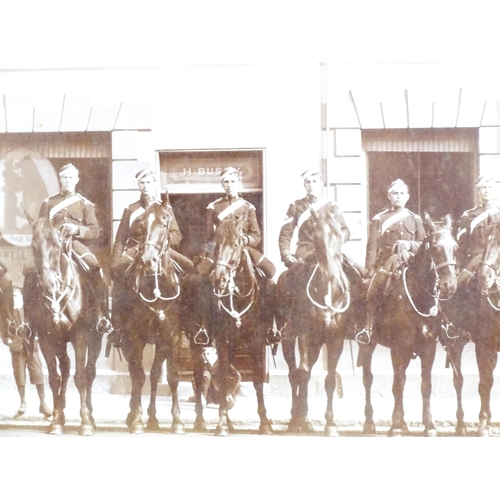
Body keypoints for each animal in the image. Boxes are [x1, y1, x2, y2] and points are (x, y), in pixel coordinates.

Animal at [23, 218, 103, 434]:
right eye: (34, 246)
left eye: (56, 245)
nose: (47, 283)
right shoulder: (46, 338)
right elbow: (54, 378)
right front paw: (56, 421)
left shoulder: (81, 335)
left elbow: (81, 376)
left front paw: (85, 423)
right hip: (60, 341)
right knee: (65, 368)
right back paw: (62, 413)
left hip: (96, 339)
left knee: (90, 371)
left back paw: (91, 417)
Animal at [111, 195, 186, 434]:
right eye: (141, 226)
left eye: (164, 223)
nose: (148, 260)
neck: (157, 288)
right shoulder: (134, 338)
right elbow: (138, 377)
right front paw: (136, 419)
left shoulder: (171, 338)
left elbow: (171, 377)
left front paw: (177, 421)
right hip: (126, 342)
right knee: (135, 374)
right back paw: (133, 414)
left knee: (153, 375)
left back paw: (152, 418)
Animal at [358, 213, 458, 436]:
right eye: (435, 248)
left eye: (455, 247)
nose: (450, 285)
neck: (418, 296)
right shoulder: (399, 347)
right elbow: (398, 384)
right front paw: (395, 426)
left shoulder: (429, 347)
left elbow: (425, 385)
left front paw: (429, 425)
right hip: (369, 345)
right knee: (368, 379)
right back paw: (370, 423)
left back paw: (403, 424)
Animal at [444, 221, 500, 436]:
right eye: (486, 242)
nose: (485, 277)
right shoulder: (484, 345)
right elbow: (485, 383)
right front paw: (482, 424)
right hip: (455, 341)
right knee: (458, 379)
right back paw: (461, 424)